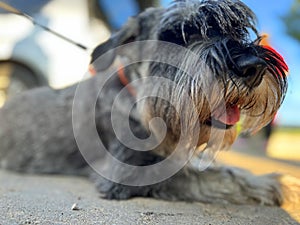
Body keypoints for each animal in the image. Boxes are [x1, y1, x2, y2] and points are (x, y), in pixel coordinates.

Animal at [0, 0, 300, 206]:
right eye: (175, 36)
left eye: (237, 29)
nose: (252, 66)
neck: (136, 97)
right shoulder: (128, 173)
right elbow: (210, 177)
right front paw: (272, 183)